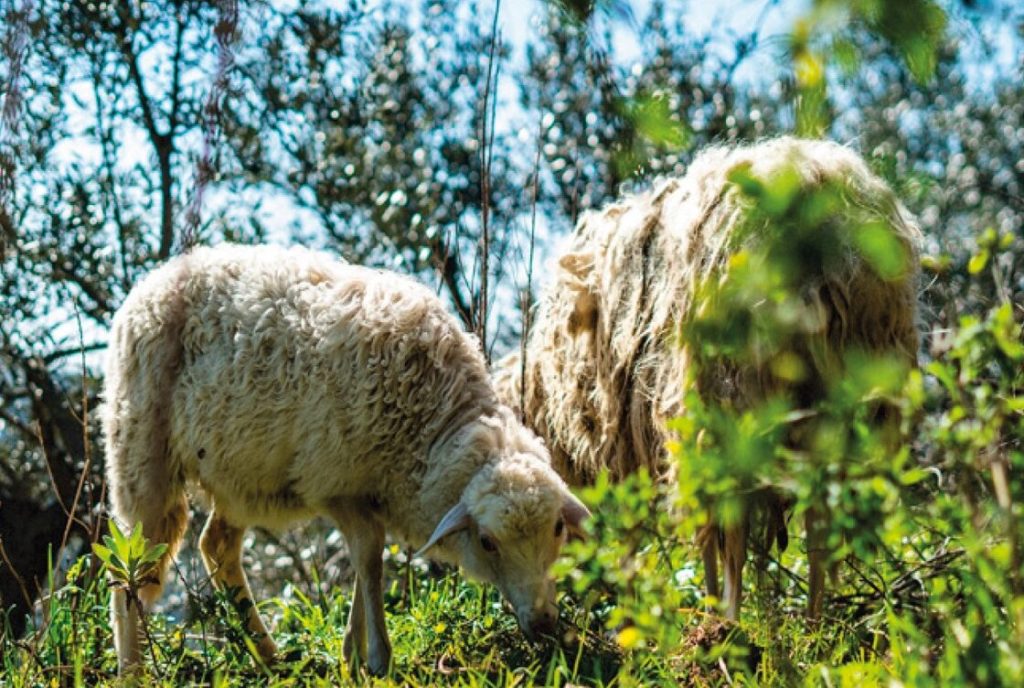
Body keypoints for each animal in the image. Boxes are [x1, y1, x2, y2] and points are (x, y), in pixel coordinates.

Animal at [101, 243, 589, 676]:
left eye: (557, 529)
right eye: (488, 542)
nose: (544, 623)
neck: (431, 421)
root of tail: (155, 278)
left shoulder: (364, 490)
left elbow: (362, 562)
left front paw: (351, 652)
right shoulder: (336, 483)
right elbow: (370, 559)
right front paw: (377, 658)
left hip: (237, 473)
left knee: (216, 547)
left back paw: (271, 658)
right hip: (141, 456)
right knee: (130, 574)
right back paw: (133, 670)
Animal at [496, 137, 920, 621]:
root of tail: (819, 188)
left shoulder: (630, 446)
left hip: (727, 396)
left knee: (732, 521)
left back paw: (729, 619)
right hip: (849, 398)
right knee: (819, 520)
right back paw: (814, 622)